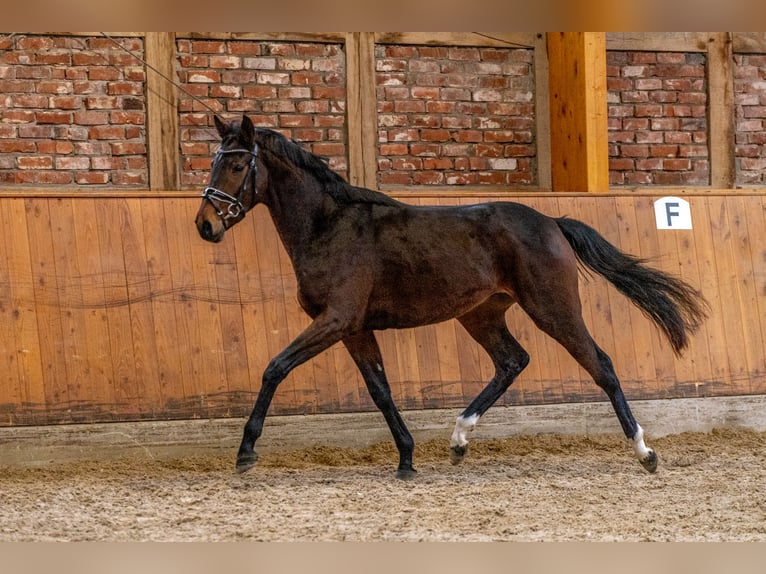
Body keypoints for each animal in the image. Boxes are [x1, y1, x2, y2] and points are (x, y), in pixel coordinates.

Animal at [195, 115, 712, 480]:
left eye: (237, 164)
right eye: (214, 162)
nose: (205, 225)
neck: (330, 227)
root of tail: (551, 221)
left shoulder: (336, 320)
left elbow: (275, 367)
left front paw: (246, 452)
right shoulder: (355, 328)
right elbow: (380, 390)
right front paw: (406, 459)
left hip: (554, 309)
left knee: (599, 364)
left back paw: (645, 452)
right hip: (481, 315)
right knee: (512, 361)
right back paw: (459, 439)